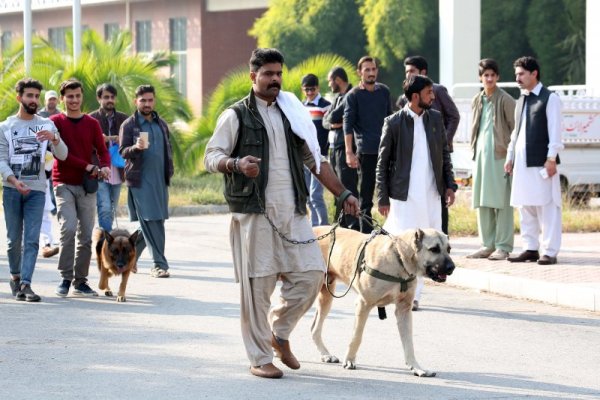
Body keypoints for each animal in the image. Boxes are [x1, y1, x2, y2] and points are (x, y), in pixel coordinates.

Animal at [312, 227, 452, 376]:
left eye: (449, 249)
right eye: (434, 249)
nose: (452, 267)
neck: (399, 258)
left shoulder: (404, 310)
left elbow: (409, 343)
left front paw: (416, 367)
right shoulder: (363, 304)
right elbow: (356, 336)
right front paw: (349, 360)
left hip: (326, 296)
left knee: (314, 328)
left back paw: (325, 354)